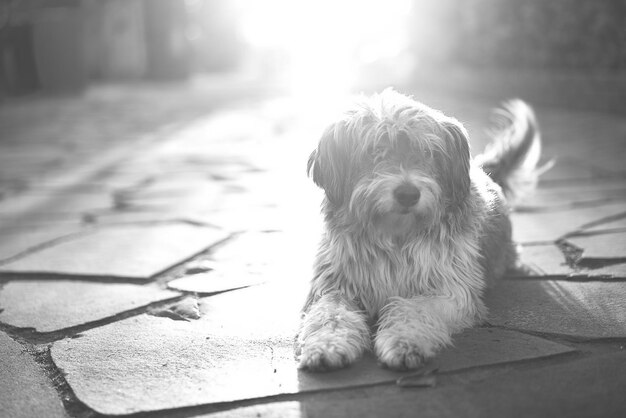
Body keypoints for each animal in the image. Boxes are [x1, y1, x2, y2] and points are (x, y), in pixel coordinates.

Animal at [294, 90, 544, 370]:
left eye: (428, 152)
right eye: (374, 151)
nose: (408, 194)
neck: (395, 237)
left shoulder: (449, 289)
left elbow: (413, 307)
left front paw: (403, 341)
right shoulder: (334, 285)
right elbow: (330, 314)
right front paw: (326, 345)